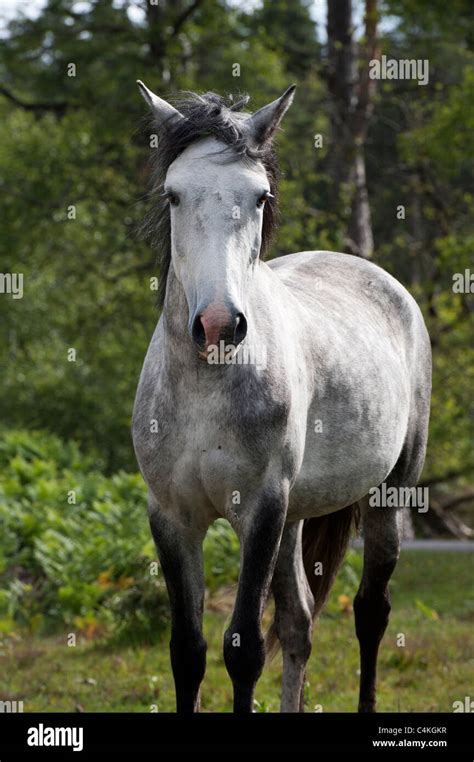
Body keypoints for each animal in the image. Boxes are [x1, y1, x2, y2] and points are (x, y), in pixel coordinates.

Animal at [131, 83, 432, 712]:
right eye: (173, 194)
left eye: (260, 196)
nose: (219, 325)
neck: (206, 388)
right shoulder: (172, 516)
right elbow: (187, 652)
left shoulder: (261, 509)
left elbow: (243, 650)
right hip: (296, 518)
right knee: (299, 624)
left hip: (387, 496)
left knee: (371, 613)